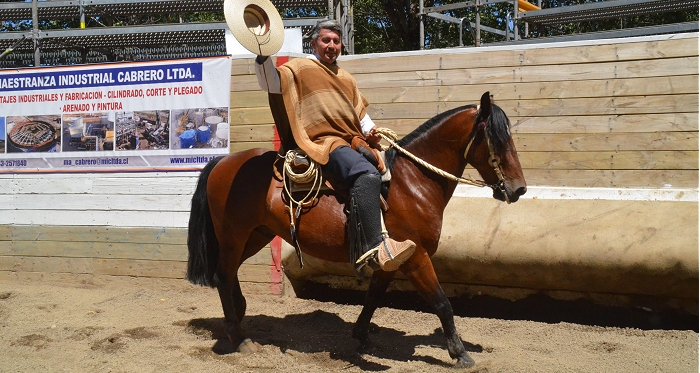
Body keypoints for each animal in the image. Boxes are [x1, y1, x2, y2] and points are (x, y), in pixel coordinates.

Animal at [186, 91, 524, 366]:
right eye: (498, 139)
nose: (518, 189)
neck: (412, 182)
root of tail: (222, 162)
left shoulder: (391, 256)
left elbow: (374, 296)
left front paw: (361, 335)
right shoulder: (417, 258)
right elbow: (442, 302)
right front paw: (460, 353)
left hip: (256, 234)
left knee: (228, 274)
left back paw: (240, 314)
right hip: (233, 235)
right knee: (223, 275)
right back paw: (238, 337)